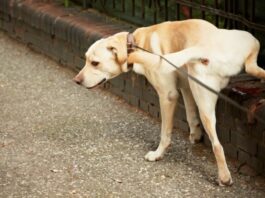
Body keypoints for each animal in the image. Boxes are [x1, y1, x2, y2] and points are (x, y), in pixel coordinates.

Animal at [72, 18, 264, 186]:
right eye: (86, 59)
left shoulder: (168, 95)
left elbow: (165, 133)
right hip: (247, 44)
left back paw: (224, 178)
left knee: (217, 145)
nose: (76, 81)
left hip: (203, 97)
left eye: (95, 63)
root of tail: (205, 47)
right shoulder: (186, 86)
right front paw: (195, 134)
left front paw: (158, 154)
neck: (137, 43)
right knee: (253, 68)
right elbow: (190, 115)